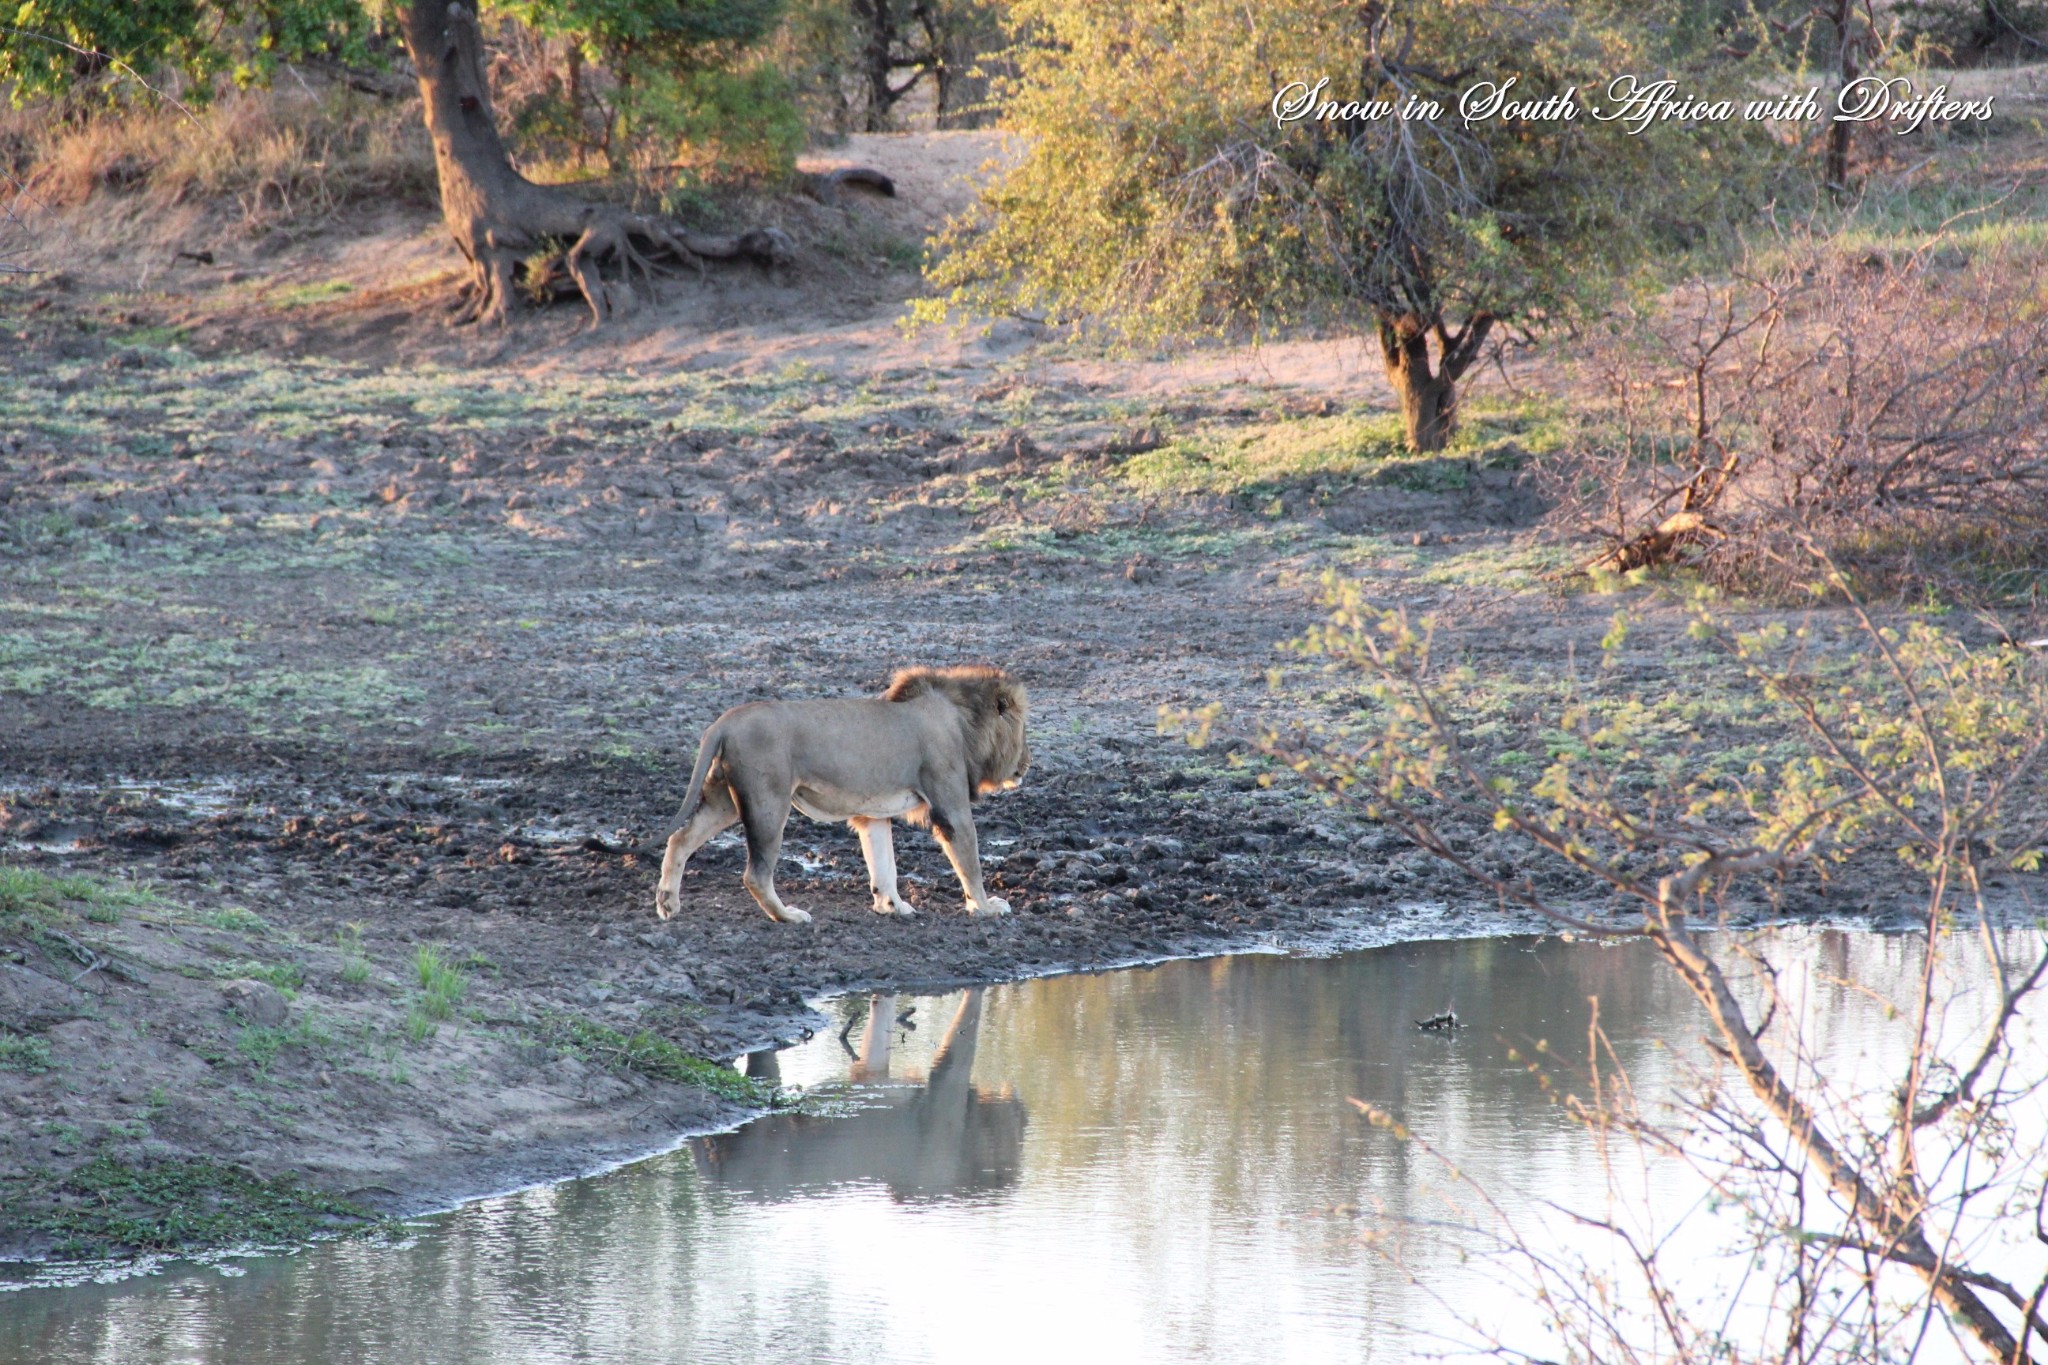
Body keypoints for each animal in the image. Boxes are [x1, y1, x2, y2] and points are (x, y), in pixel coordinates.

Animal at [655, 663, 1032, 925]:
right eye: (1024, 728)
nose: (1027, 762)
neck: (963, 720)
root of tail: (725, 721)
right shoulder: (951, 806)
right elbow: (970, 862)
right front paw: (986, 907)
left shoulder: (872, 816)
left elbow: (884, 864)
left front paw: (892, 906)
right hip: (769, 803)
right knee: (756, 874)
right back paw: (789, 916)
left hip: (725, 798)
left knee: (680, 839)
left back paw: (667, 903)